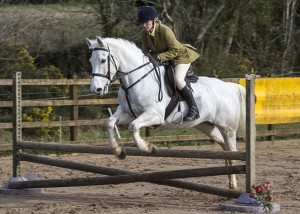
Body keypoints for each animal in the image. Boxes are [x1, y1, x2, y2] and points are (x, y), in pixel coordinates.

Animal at [85, 36, 245, 189]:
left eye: (103, 60)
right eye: (90, 61)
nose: (96, 89)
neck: (136, 79)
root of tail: (230, 86)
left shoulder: (155, 115)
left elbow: (133, 127)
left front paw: (149, 148)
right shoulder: (126, 113)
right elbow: (109, 122)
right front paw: (118, 151)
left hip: (228, 128)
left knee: (232, 149)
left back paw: (234, 182)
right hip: (207, 126)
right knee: (224, 146)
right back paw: (230, 180)